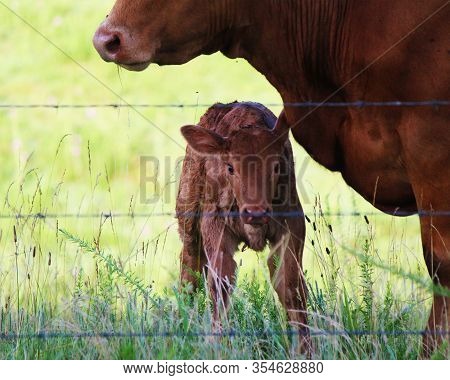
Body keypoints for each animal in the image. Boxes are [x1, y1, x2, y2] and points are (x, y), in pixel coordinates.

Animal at [176, 101, 310, 354]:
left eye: (276, 166)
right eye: (230, 168)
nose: (255, 212)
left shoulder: (293, 225)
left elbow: (290, 285)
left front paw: (305, 350)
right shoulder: (215, 225)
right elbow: (221, 285)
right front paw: (218, 347)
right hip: (188, 219)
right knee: (189, 271)